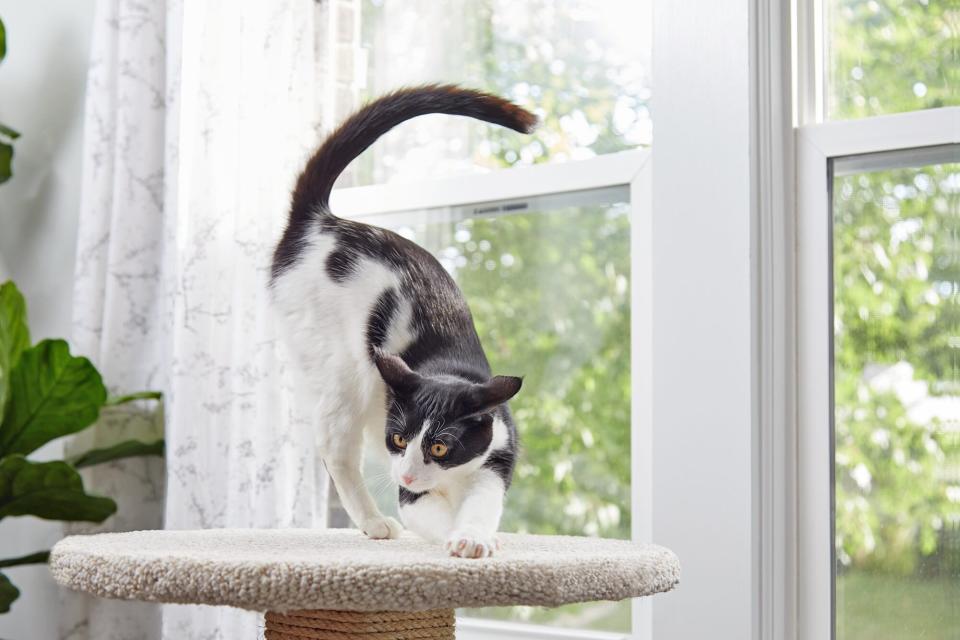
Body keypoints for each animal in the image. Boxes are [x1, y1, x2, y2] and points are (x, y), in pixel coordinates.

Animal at [270, 86, 536, 560]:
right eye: (397, 439)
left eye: (440, 446)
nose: (408, 473)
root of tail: (321, 222)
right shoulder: (411, 490)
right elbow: (423, 513)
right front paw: (454, 537)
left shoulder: (497, 456)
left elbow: (483, 502)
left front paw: (475, 536)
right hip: (341, 373)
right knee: (335, 451)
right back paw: (374, 522)